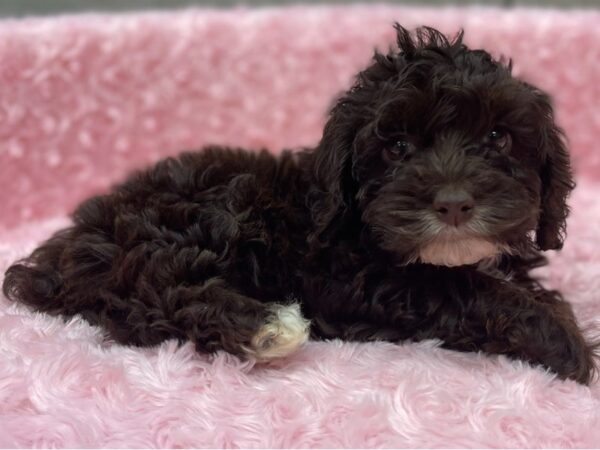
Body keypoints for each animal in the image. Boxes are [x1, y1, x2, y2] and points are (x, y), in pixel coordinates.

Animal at [3, 24, 596, 384]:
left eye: (498, 137)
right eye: (396, 147)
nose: (453, 204)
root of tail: (74, 241)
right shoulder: (348, 278)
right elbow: (461, 289)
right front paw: (565, 345)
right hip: (207, 215)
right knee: (158, 289)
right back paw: (269, 327)